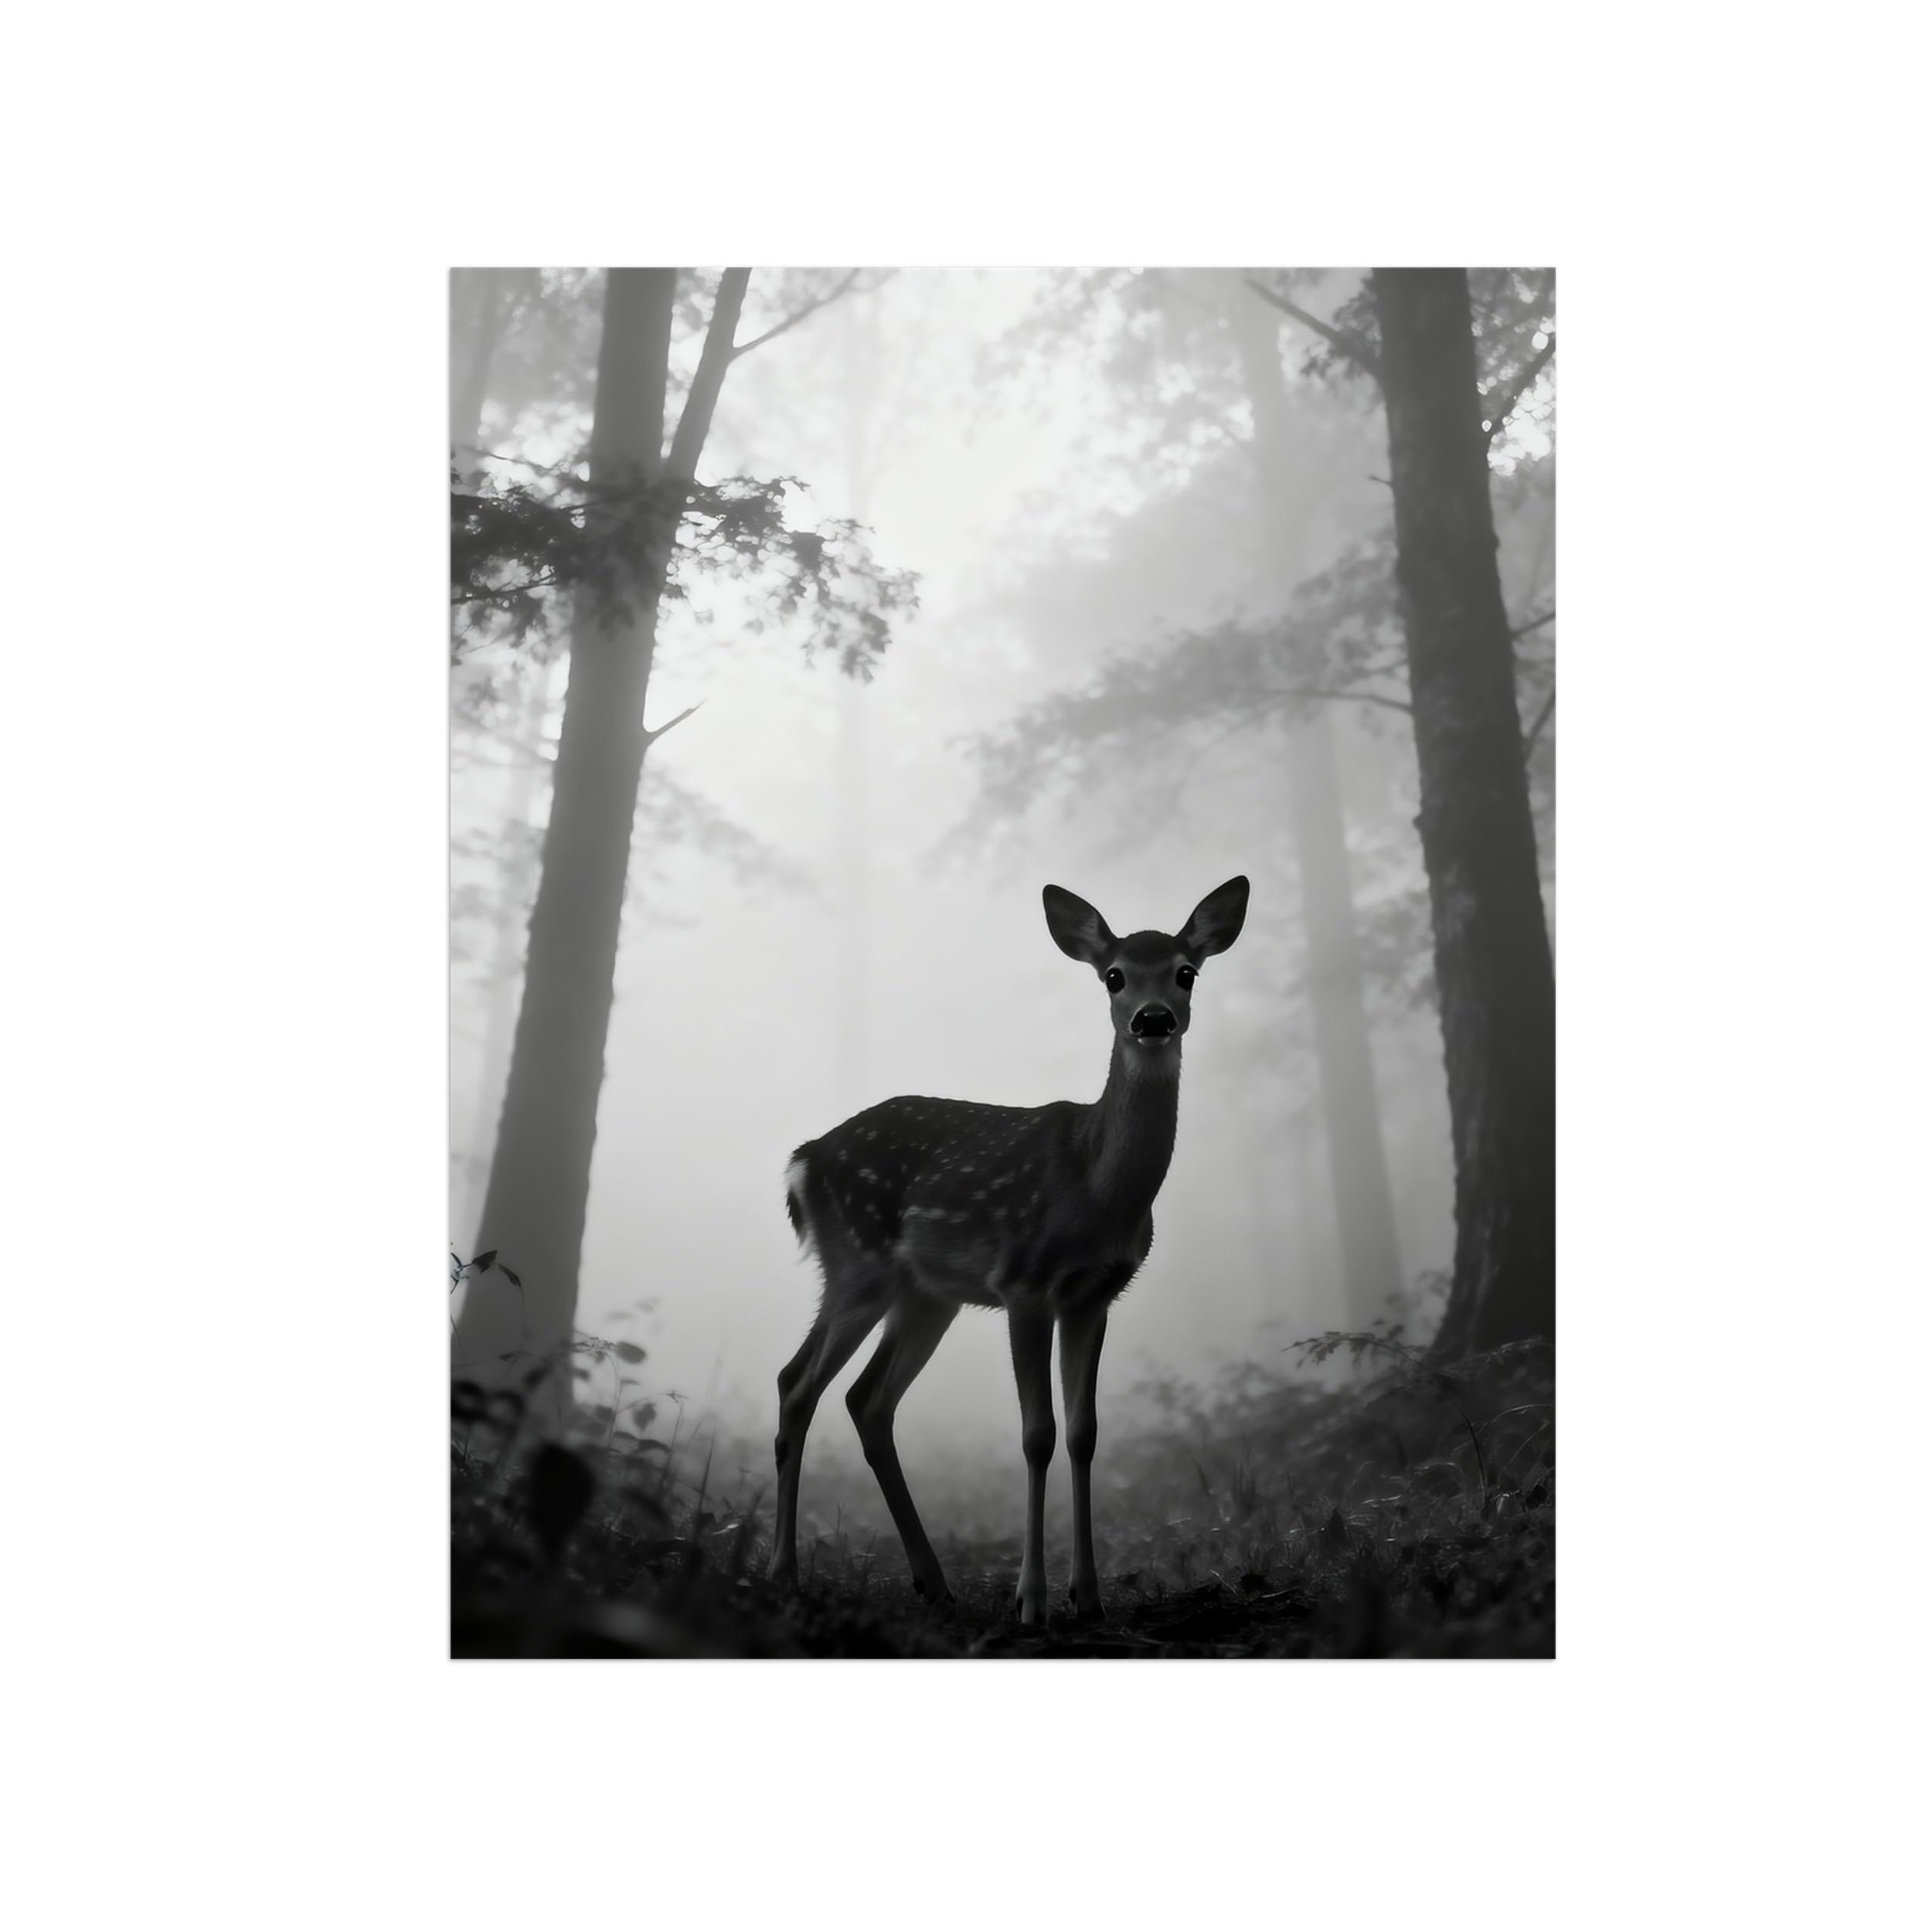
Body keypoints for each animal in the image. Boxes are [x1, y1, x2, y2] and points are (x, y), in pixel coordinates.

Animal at [769, 875, 1248, 1624]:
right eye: (1113, 976)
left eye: (1185, 973)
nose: (1152, 1020)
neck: (1095, 1186)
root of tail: (804, 1158)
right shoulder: (1025, 1281)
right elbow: (1037, 1434)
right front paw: (1032, 1599)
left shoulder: (1095, 1294)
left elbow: (1083, 1431)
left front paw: (1089, 1597)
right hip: (857, 1265)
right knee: (797, 1383)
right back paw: (784, 1576)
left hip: (926, 1295)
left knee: (866, 1399)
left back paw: (933, 1582)